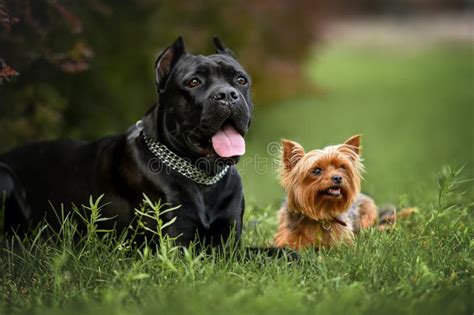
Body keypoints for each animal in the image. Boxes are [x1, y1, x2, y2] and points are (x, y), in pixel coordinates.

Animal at [0, 37, 252, 249]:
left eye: (240, 80)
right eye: (193, 82)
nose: (227, 95)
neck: (202, 180)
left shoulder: (230, 245)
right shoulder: (176, 246)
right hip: (6, 178)